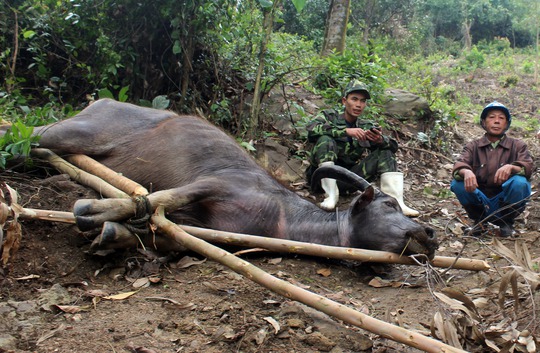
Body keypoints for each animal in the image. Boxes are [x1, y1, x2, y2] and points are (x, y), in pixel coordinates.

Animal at [26, 97, 438, 258]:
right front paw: (92, 210)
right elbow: (158, 198)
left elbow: (163, 234)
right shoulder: (212, 185)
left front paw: (113, 233)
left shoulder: (202, 232)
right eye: (388, 204)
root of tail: (100, 101)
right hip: (69, 132)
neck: (281, 214)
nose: (430, 234)